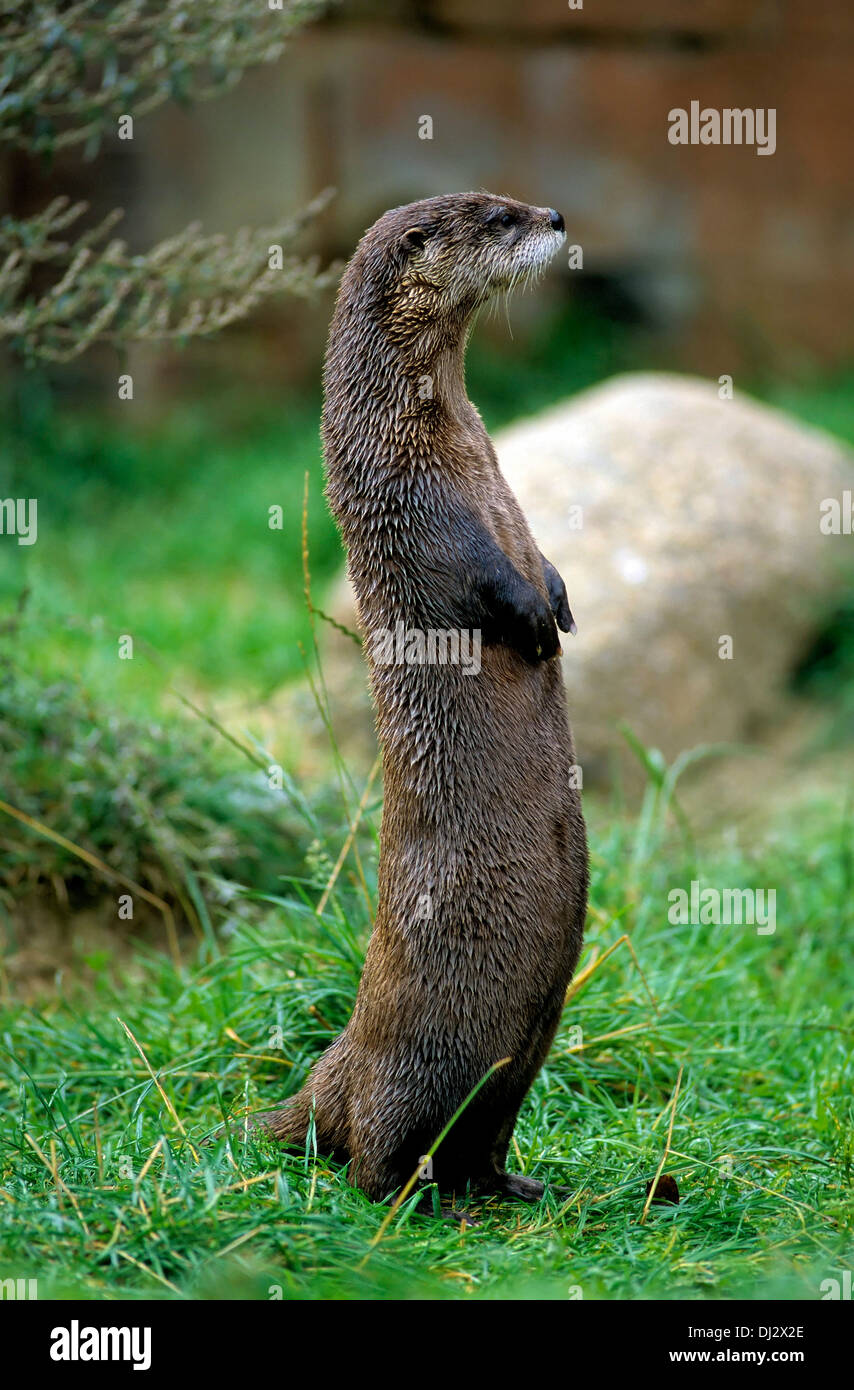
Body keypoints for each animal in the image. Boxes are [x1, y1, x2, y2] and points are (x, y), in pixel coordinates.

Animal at [262, 193, 588, 1204]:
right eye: (495, 219)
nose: (554, 214)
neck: (445, 433)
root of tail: (332, 1067)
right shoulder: (417, 502)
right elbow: (480, 577)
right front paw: (531, 617)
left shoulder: (497, 482)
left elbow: (537, 550)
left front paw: (560, 600)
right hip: (419, 1054)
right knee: (375, 1146)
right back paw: (412, 1197)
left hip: (527, 1047)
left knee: (482, 1133)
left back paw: (514, 1187)